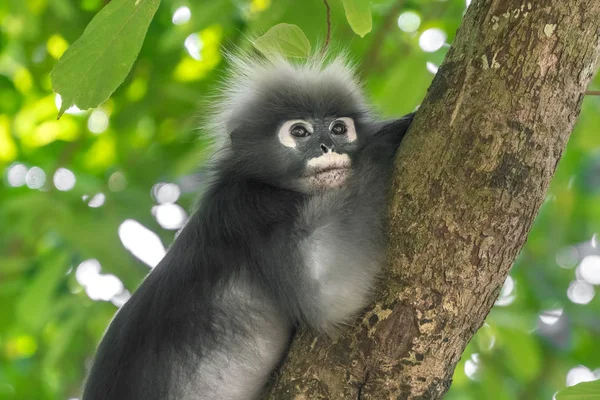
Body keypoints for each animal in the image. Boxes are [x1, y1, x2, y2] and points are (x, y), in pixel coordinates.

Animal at [82, 52, 414, 400]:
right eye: (300, 132)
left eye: (339, 128)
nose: (327, 147)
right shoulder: (250, 209)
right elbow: (328, 295)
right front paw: (390, 135)